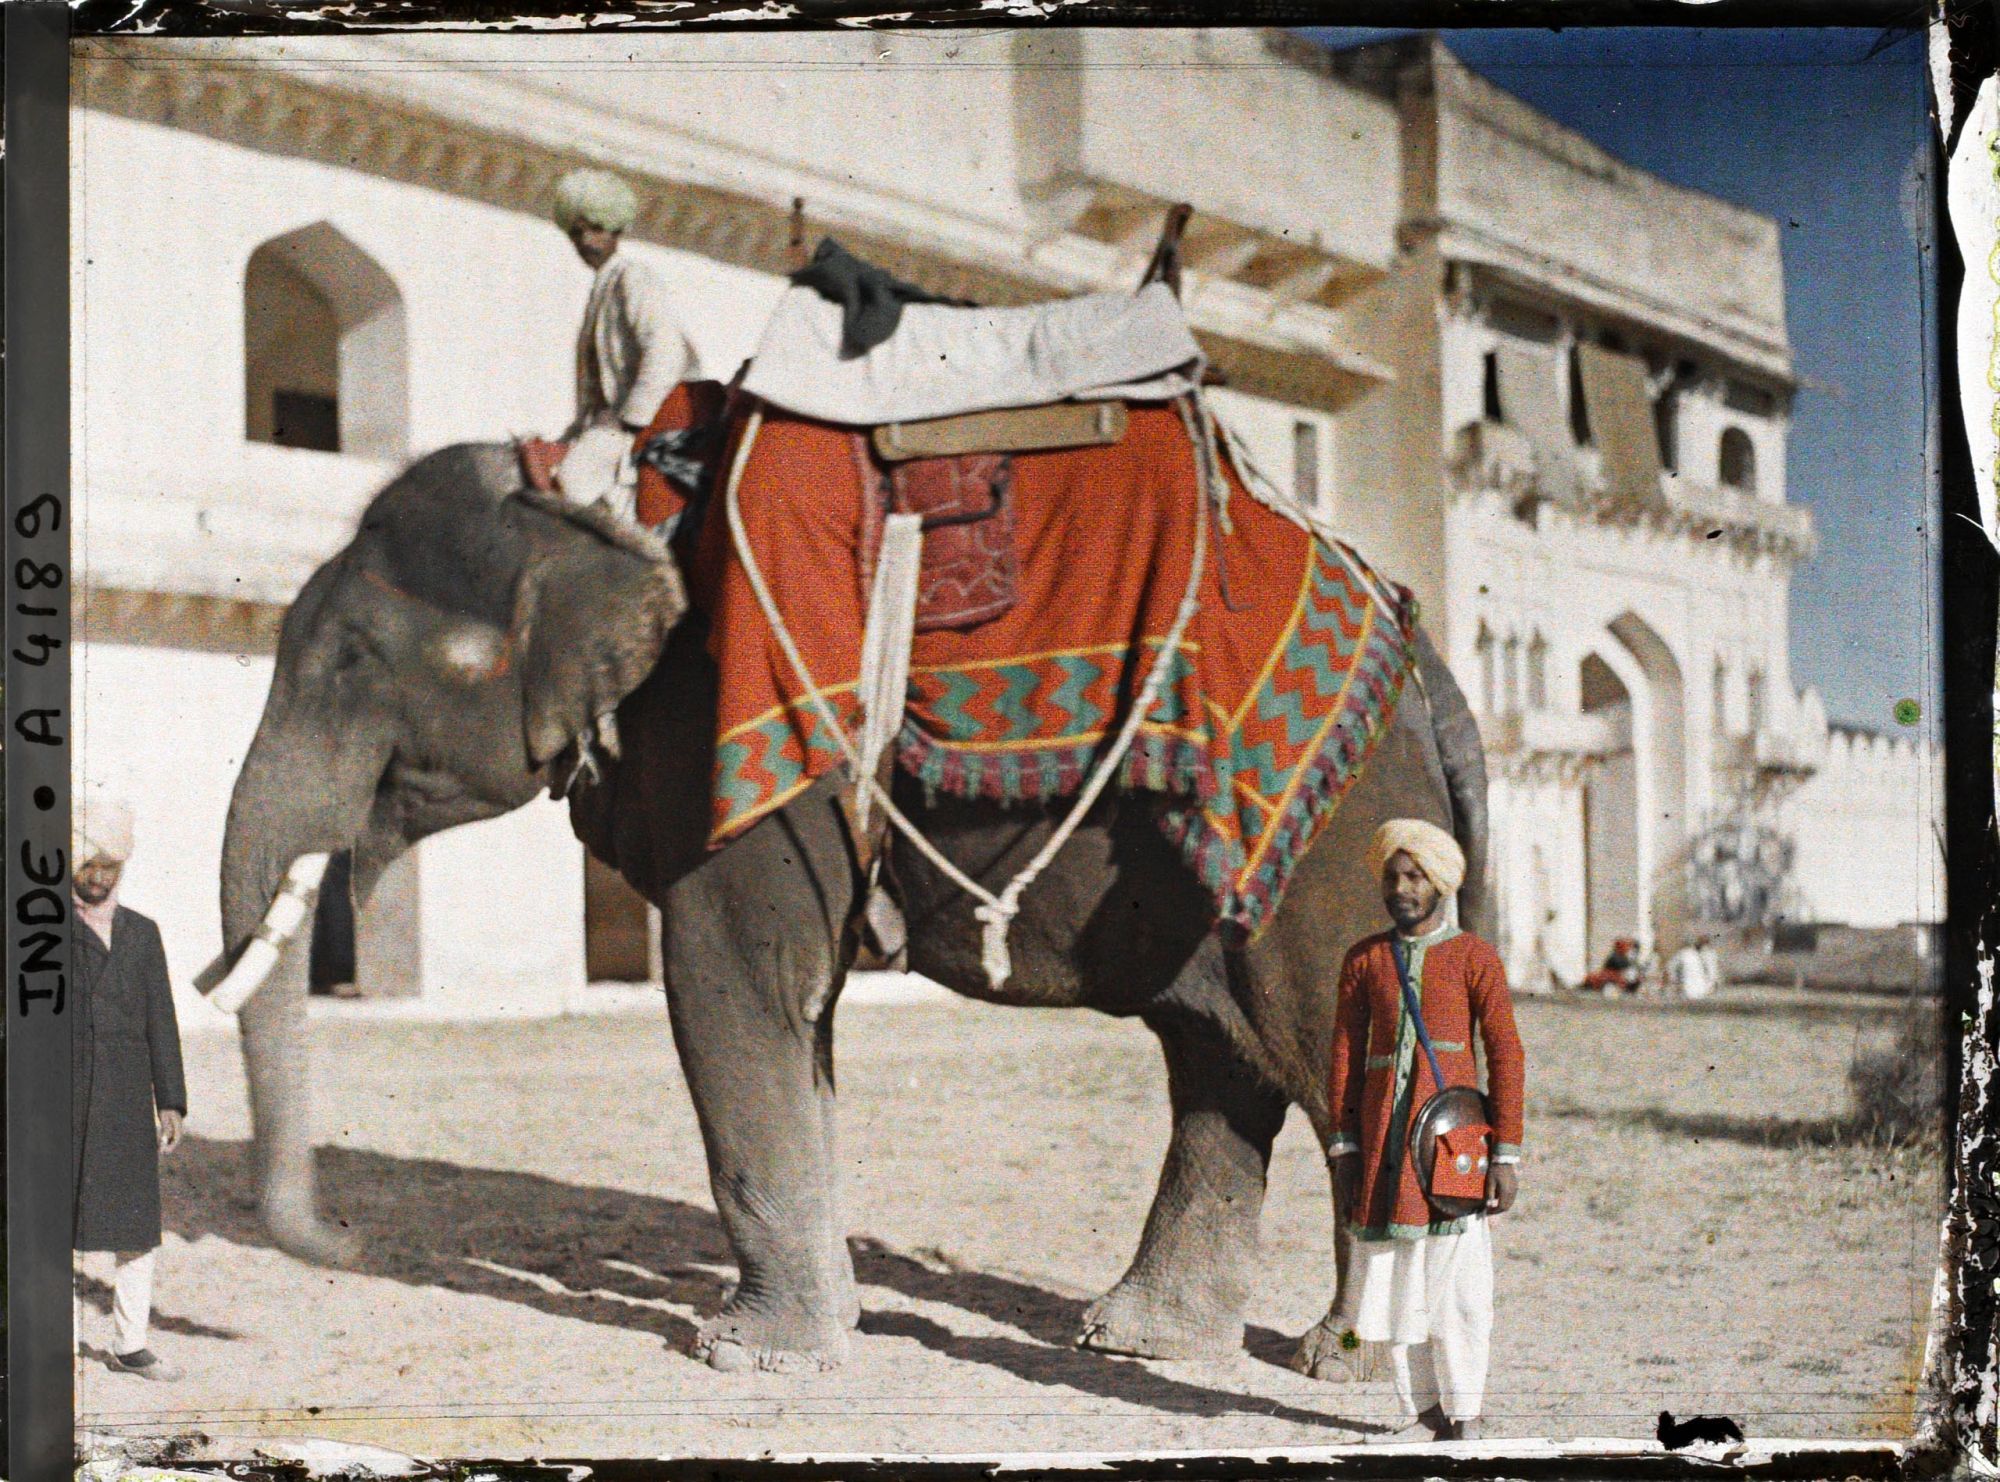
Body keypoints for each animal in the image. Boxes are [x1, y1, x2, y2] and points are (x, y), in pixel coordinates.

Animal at [208, 436, 1490, 1376]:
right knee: (1215, 1059)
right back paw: (1140, 1342)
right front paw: (821, 1332)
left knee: (1328, 1048)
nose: (347, 1237)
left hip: (1336, 838)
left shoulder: (753, 746)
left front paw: (744, 1357)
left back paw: (1342, 1362)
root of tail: (1423, 650)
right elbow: (794, 1014)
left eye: (349, 661)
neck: (599, 497)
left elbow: (728, 981)